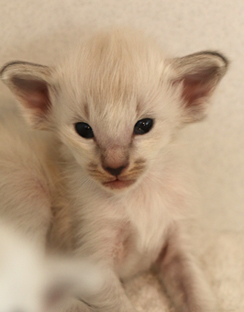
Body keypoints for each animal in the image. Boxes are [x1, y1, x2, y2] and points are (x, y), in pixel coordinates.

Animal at [0, 28, 229, 310]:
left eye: (144, 125)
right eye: (84, 130)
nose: (115, 167)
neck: (139, 195)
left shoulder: (178, 249)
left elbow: (199, 297)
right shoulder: (92, 265)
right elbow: (122, 306)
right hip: (30, 191)